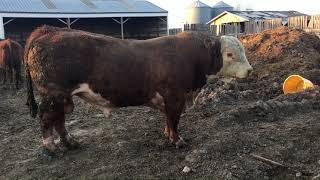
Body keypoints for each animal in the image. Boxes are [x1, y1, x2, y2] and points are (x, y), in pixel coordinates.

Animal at [24, 25, 252, 156]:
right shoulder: (175, 97)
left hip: (61, 98)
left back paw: (70, 143)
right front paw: (176, 140)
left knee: (59, 120)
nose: (250, 70)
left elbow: (168, 119)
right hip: (53, 95)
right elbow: (174, 120)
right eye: (230, 54)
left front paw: (167, 134)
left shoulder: (169, 99)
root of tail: (48, 30)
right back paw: (51, 148)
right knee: (47, 119)